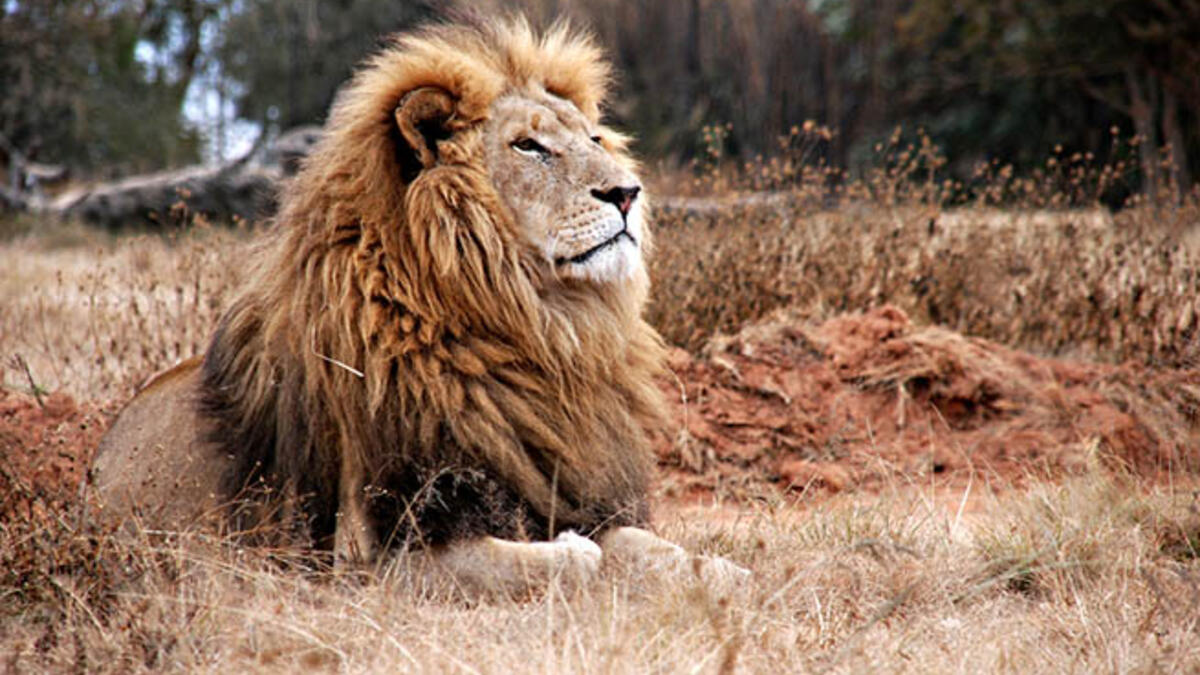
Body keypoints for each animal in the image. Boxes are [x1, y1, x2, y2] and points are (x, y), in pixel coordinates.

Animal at [91, 17, 746, 594]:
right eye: (529, 146)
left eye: (593, 138)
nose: (628, 192)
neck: (530, 333)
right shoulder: (372, 560)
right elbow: (563, 561)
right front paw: (575, 552)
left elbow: (649, 547)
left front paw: (723, 572)